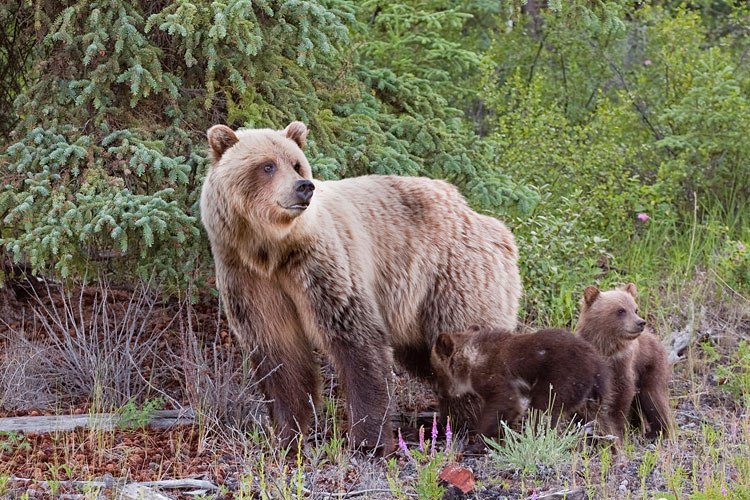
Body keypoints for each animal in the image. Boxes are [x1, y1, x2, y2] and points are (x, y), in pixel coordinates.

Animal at [200, 122, 524, 454]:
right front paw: (286, 434)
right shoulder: (249, 278)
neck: (272, 250)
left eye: (296, 163)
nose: (304, 186)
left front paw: (368, 440)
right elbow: (279, 355)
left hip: (453, 277)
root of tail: (481, 217)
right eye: (267, 165)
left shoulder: (321, 265)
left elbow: (356, 339)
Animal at [432, 328, 612, 446]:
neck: (470, 361)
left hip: (562, 377)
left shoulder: (493, 374)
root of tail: (597, 365)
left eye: (435, 372)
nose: (440, 393)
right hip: (589, 395)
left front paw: (482, 439)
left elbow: (504, 401)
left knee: (543, 409)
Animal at [576, 284, 676, 440]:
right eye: (621, 310)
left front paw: (616, 428)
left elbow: (622, 394)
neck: (606, 348)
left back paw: (656, 431)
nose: (640, 322)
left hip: (651, 366)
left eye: (635, 309)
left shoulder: (622, 364)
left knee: (653, 397)